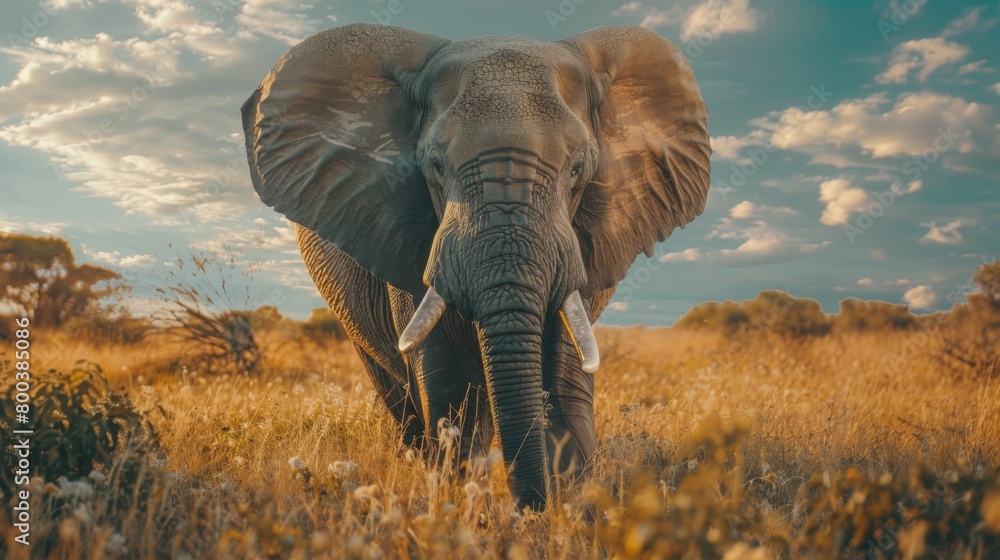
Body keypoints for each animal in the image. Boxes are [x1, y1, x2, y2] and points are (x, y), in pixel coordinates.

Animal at [241, 23, 710, 509]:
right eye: (434, 165)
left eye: (578, 167)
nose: (530, 510)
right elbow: (448, 392)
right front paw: (464, 501)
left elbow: (564, 386)